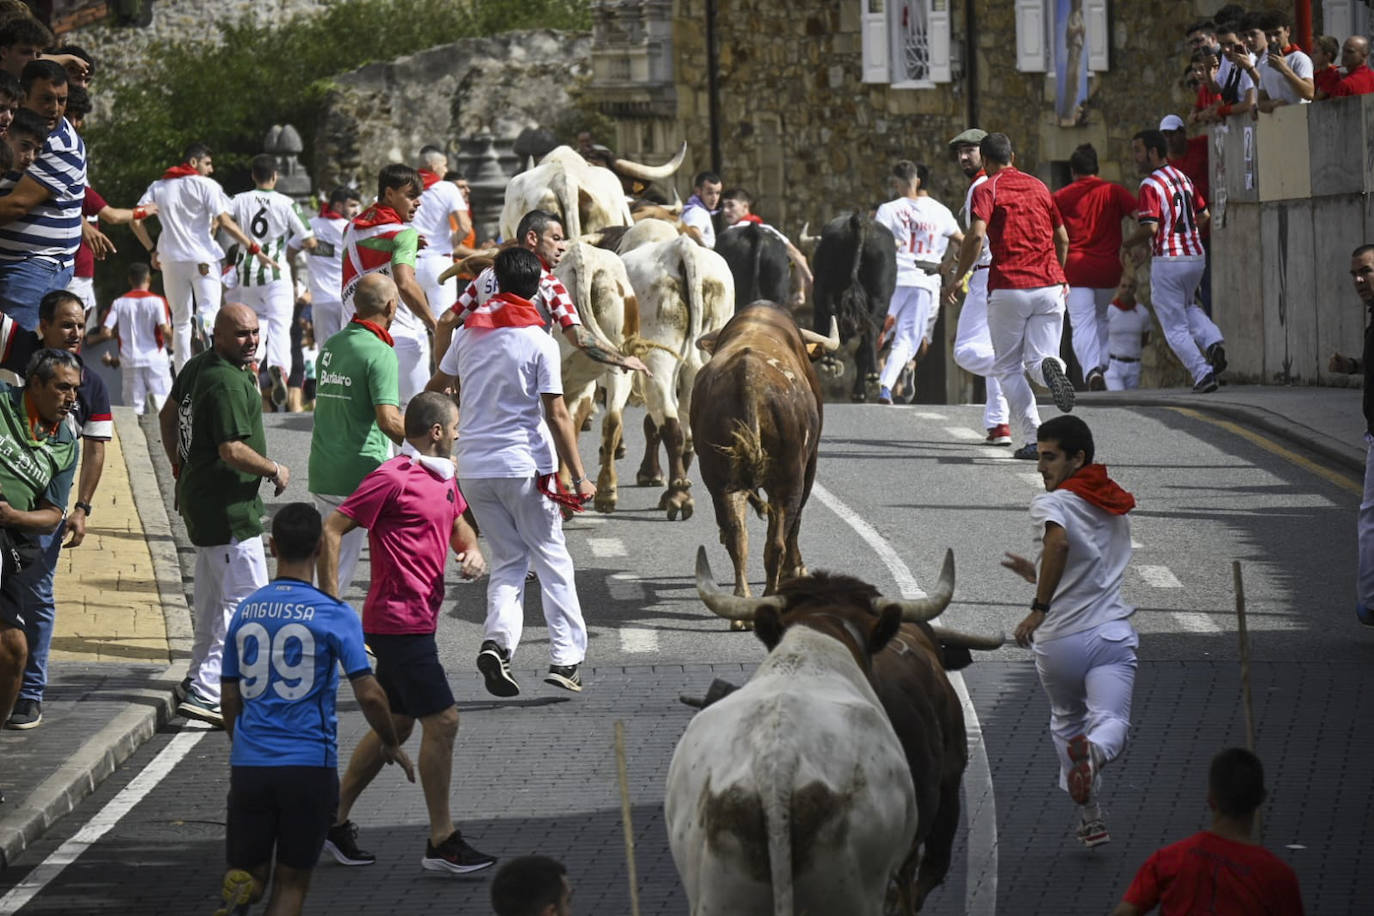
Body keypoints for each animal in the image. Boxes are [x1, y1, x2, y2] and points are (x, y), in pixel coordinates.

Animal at [618, 236, 736, 519]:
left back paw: (677, 496)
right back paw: (680, 489)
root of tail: (681, 247)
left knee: (670, 423)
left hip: (658, 357)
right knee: (687, 428)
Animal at [687, 299, 835, 601]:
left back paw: (742, 598)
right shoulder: (810, 463)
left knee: (737, 535)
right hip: (789, 479)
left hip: (721, 480)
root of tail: (748, 380)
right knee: (776, 541)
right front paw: (797, 568)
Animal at [807, 216, 895, 403]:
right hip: (879, 298)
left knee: (832, 316)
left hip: (825, 287)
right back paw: (872, 378)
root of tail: (860, 222)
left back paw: (831, 363)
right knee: (869, 335)